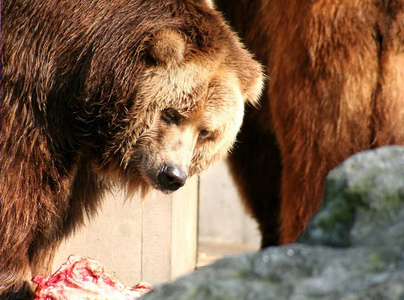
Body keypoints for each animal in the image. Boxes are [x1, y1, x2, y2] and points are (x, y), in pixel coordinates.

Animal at [0, 0, 264, 296]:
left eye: (206, 132)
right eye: (172, 113)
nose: (172, 175)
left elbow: (58, 209)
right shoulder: (27, 91)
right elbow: (18, 179)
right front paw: (15, 280)